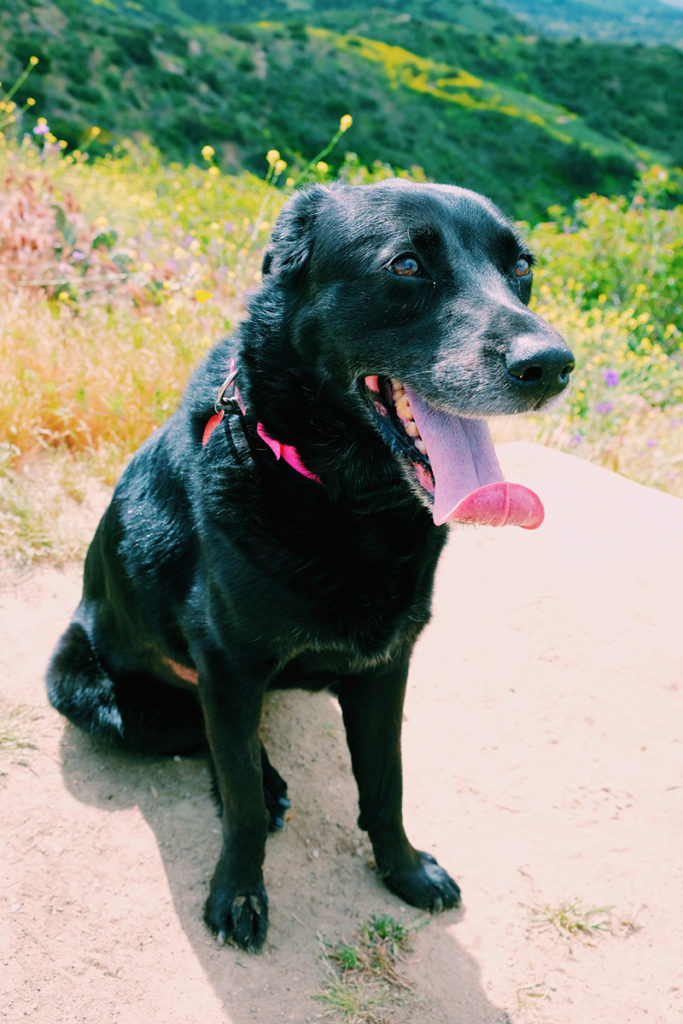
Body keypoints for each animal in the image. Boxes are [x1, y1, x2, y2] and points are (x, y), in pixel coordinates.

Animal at [45, 178, 573, 950]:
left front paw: (404, 870)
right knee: (209, 741)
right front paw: (238, 893)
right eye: (407, 265)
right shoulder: (230, 667)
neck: (344, 501)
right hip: (89, 691)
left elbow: (386, 784)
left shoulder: (386, 668)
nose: (552, 366)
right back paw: (264, 784)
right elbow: (238, 800)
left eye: (522, 266)